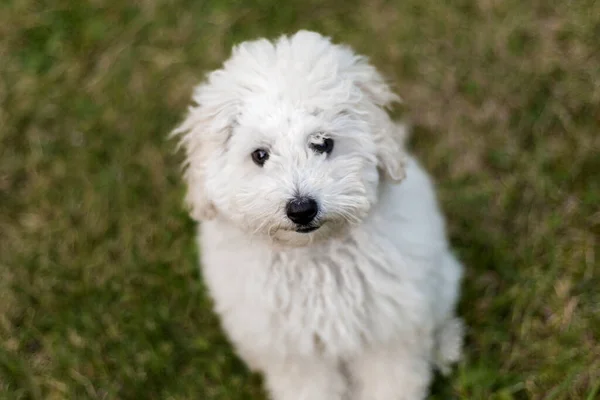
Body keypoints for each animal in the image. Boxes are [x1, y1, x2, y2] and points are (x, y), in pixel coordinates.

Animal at [173, 31, 464, 400]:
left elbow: (391, 383)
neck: (314, 255)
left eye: (323, 142)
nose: (301, 209)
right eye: (260, 155)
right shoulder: (296, 354)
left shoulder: (388, 334)